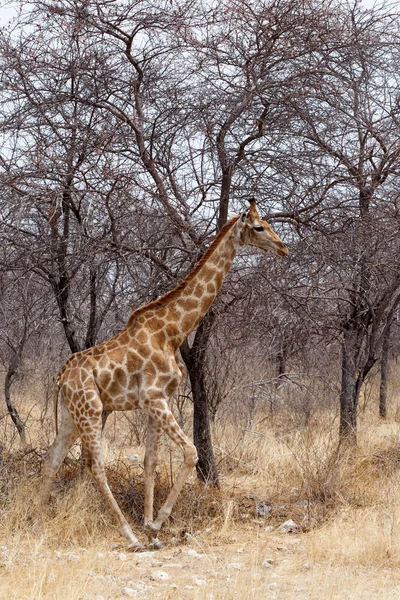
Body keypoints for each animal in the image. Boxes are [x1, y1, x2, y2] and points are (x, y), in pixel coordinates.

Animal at [39, 199, 288, 552]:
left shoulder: (156, 401)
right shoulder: (155, 399)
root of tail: (61, 376)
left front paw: (150, 526)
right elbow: (190, 452)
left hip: (70, 413)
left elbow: (150, 461)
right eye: (258, 227)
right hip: (90, 410)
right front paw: (156, 523)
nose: (283, 248)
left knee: (53, 458)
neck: (172, 331)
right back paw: (127, 535)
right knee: (93, 465)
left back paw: (36, 519)